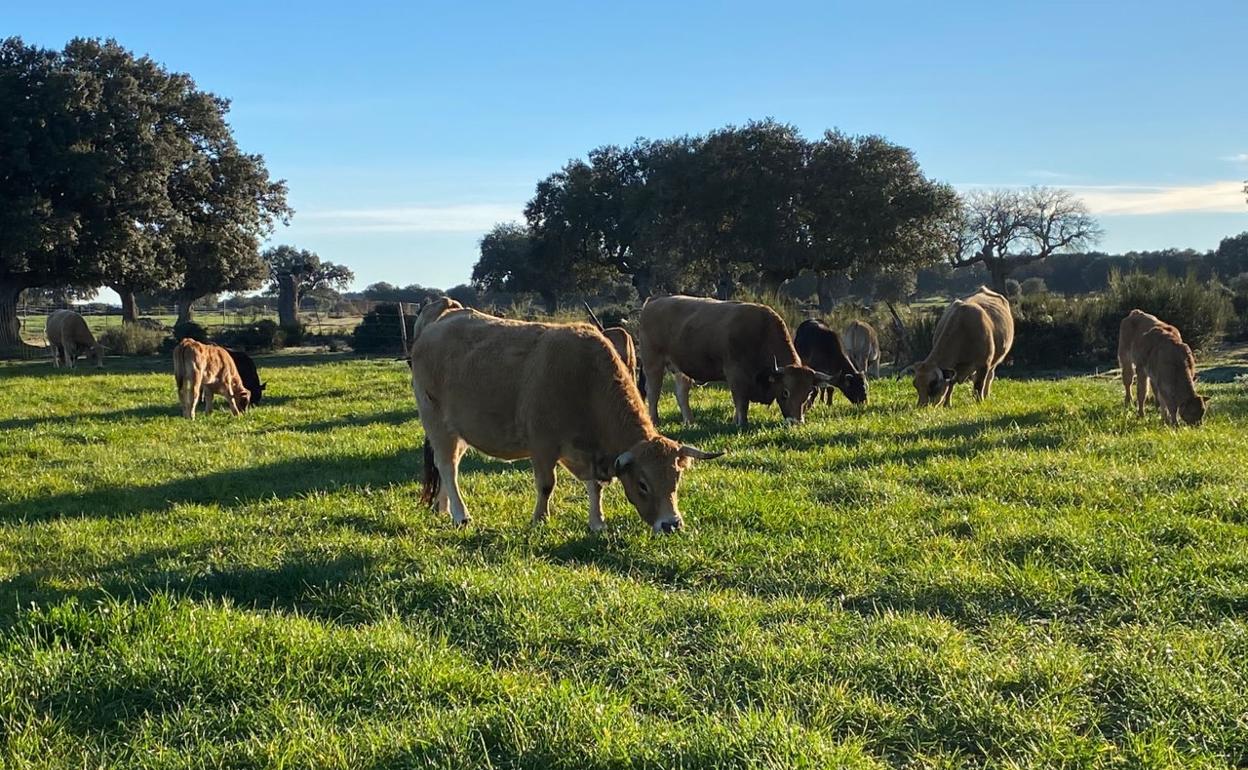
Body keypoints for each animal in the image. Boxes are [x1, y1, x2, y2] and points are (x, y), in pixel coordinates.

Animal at [409, 300, 723, 533]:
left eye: (675, 480)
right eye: (643, 484)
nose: (671, 524)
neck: (585, 378)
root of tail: (442, 317)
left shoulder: (591, 453)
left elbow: (595, 486)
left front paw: (597, 522)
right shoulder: (542, 446)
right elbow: (547, 484)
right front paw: (539, 519)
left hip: (459, 432)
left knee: (449, 467)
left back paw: (443, 508)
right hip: (436, 422)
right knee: (447, 466)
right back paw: (460, 514)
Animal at [638, 295, 832, 427]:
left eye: (808, 393)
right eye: (785, 392)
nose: (796, 422)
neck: (762, 331)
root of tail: (655, 301)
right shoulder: (736, 375)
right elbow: (741, 402)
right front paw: (741, 423)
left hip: (681, 369)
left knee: (681, 393)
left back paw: (690, 422)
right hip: (653, 363)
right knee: (653, 392)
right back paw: (654, 421)